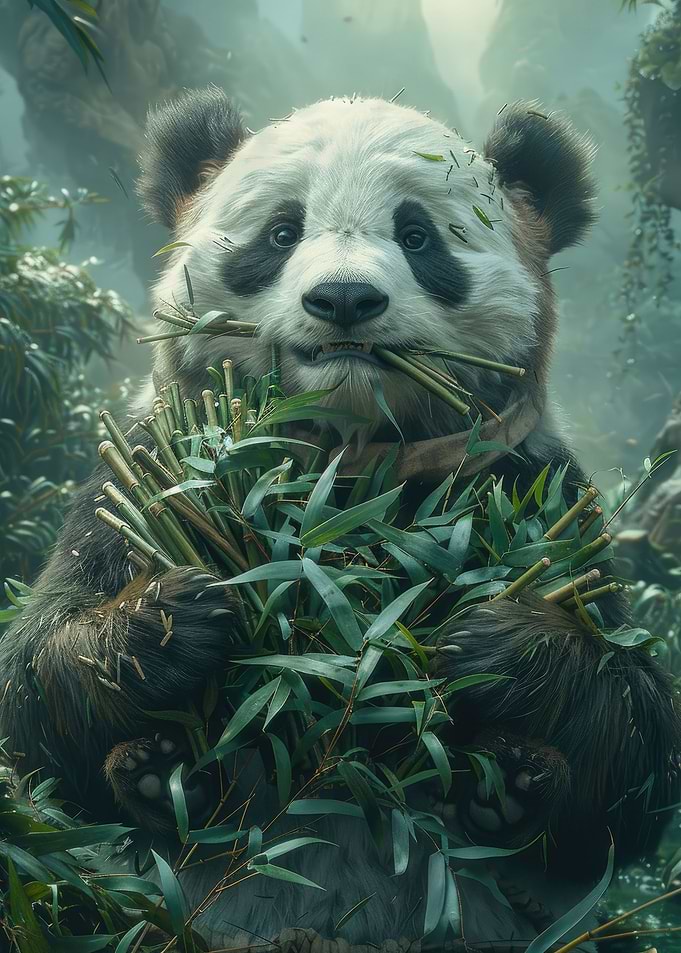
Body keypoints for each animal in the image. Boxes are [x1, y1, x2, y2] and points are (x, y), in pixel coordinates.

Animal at [1, 88, 679, 951]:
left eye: (417, 236)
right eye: (282, 232)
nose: (345, 301)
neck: (348, 465)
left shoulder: (534, 484)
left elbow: (635, 764)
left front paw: (496, 642)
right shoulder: (146, 470)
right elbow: (35, 685)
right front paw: (176, 615)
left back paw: (507, 787)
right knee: (78, 897)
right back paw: (166, 774)